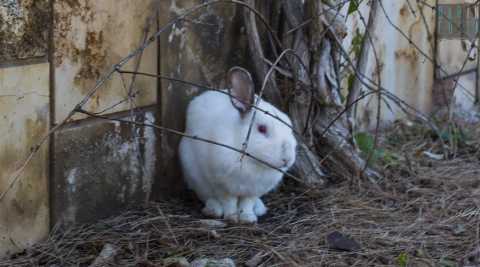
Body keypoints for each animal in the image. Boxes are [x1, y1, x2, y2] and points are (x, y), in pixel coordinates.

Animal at [178, 67, 294, 224]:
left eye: (289, 126)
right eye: (262, 129)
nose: (287, 159)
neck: (250, 159)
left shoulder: (253, 190)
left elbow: (246, 203)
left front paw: (247, 219)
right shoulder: (222, 185)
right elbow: (229, 202)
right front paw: (232, 217)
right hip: (195, 177)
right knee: (208, 197)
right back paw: (213, 210)